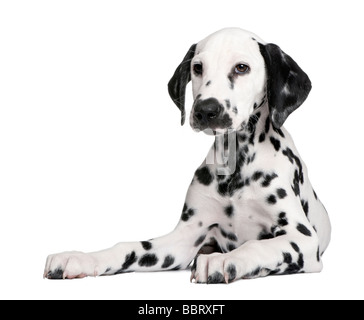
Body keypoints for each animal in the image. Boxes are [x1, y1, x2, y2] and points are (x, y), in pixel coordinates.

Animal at [44, 27, 332, 282]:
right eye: (198, 67)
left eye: (242, 68)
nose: (206, 110)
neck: (236, 166)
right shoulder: (183, 240)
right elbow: (129, 246)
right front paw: (82, 258)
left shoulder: (302, 238)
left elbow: (256, 245)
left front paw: (225, 260)